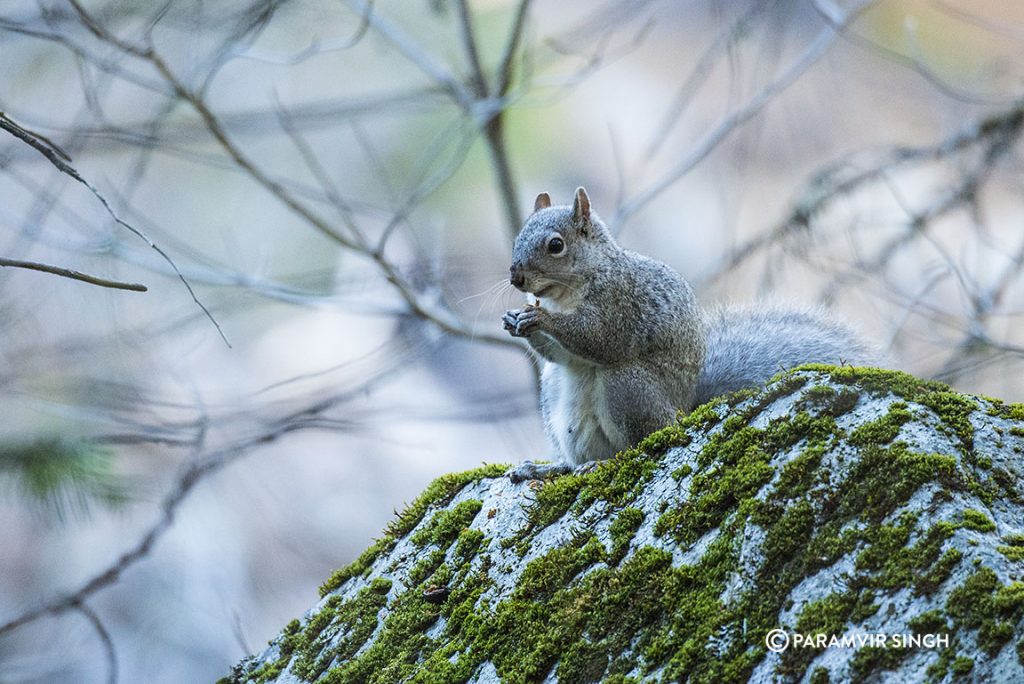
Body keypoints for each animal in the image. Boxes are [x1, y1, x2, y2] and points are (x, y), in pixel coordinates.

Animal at [503, 187, 880, 481]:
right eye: (518, 238)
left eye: (555, 245)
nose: (516, 278)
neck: (564, 295)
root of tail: (682, 414)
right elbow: (561, 355)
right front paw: (515, 320)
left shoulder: (619, 303)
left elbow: (599, 339)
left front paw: (540, 318)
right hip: (554, 391)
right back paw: (551, 468)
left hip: (629, 388)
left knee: (638, 444)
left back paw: (605, 464)